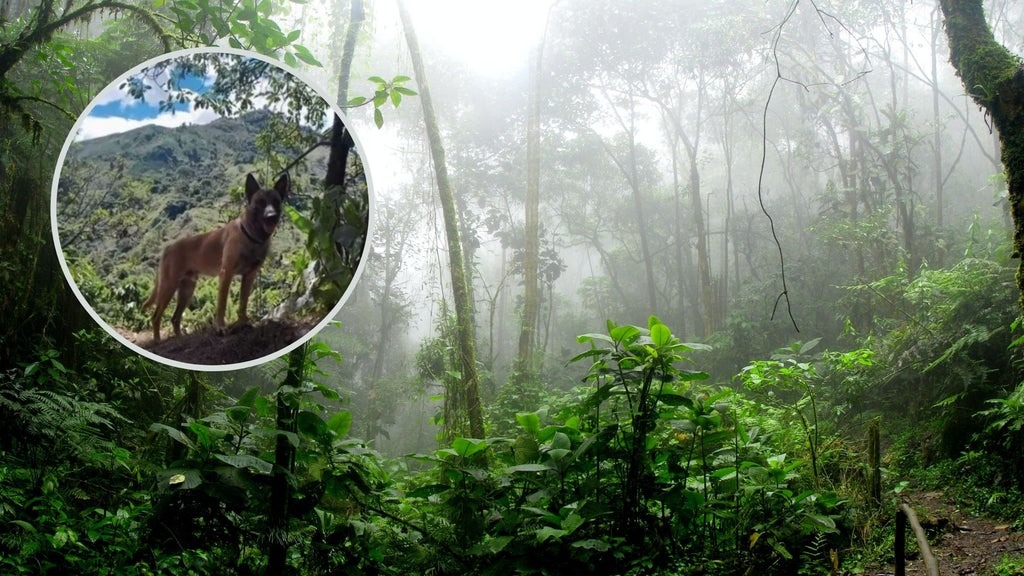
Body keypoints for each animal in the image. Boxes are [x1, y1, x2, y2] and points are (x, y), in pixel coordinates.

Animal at [142, 172, 290, 338]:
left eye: (276, 201)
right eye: (260, 202)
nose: (271, 216)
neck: (251, 236)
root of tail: (167, 248)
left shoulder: (249, 276)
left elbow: (243, 303)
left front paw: (243, 322)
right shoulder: (226, 274)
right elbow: (222, 304)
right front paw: (221, 327)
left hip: (187, 290)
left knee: (175, 318)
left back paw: (179, 338)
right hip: (169, 286)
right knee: (156, 316)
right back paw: (157, 340)